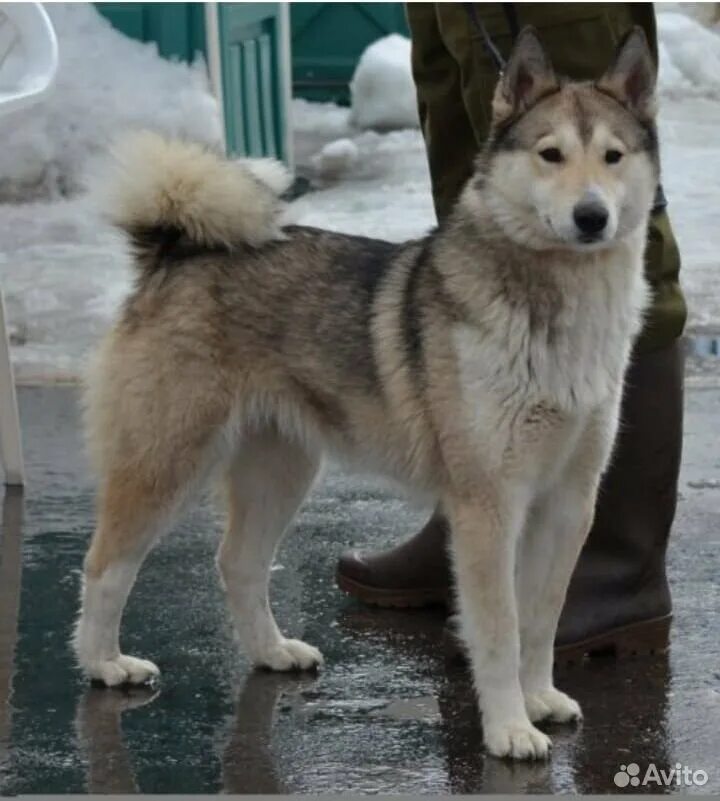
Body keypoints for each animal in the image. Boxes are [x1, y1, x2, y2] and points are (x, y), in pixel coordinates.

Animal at [74, 28, 660, 760]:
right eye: (550, 154)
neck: (559, 307)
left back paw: (272, 652)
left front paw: (538, 697)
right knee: (105, 566)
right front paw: (507, 726)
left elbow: (542, 619)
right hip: (165, 460)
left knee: (238, 562)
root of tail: (175, 251)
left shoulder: (567, 503)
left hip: (282, 468)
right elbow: (499, 630)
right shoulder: (488, 507)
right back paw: (104, 663)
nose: (592, 216)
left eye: (612, 156)